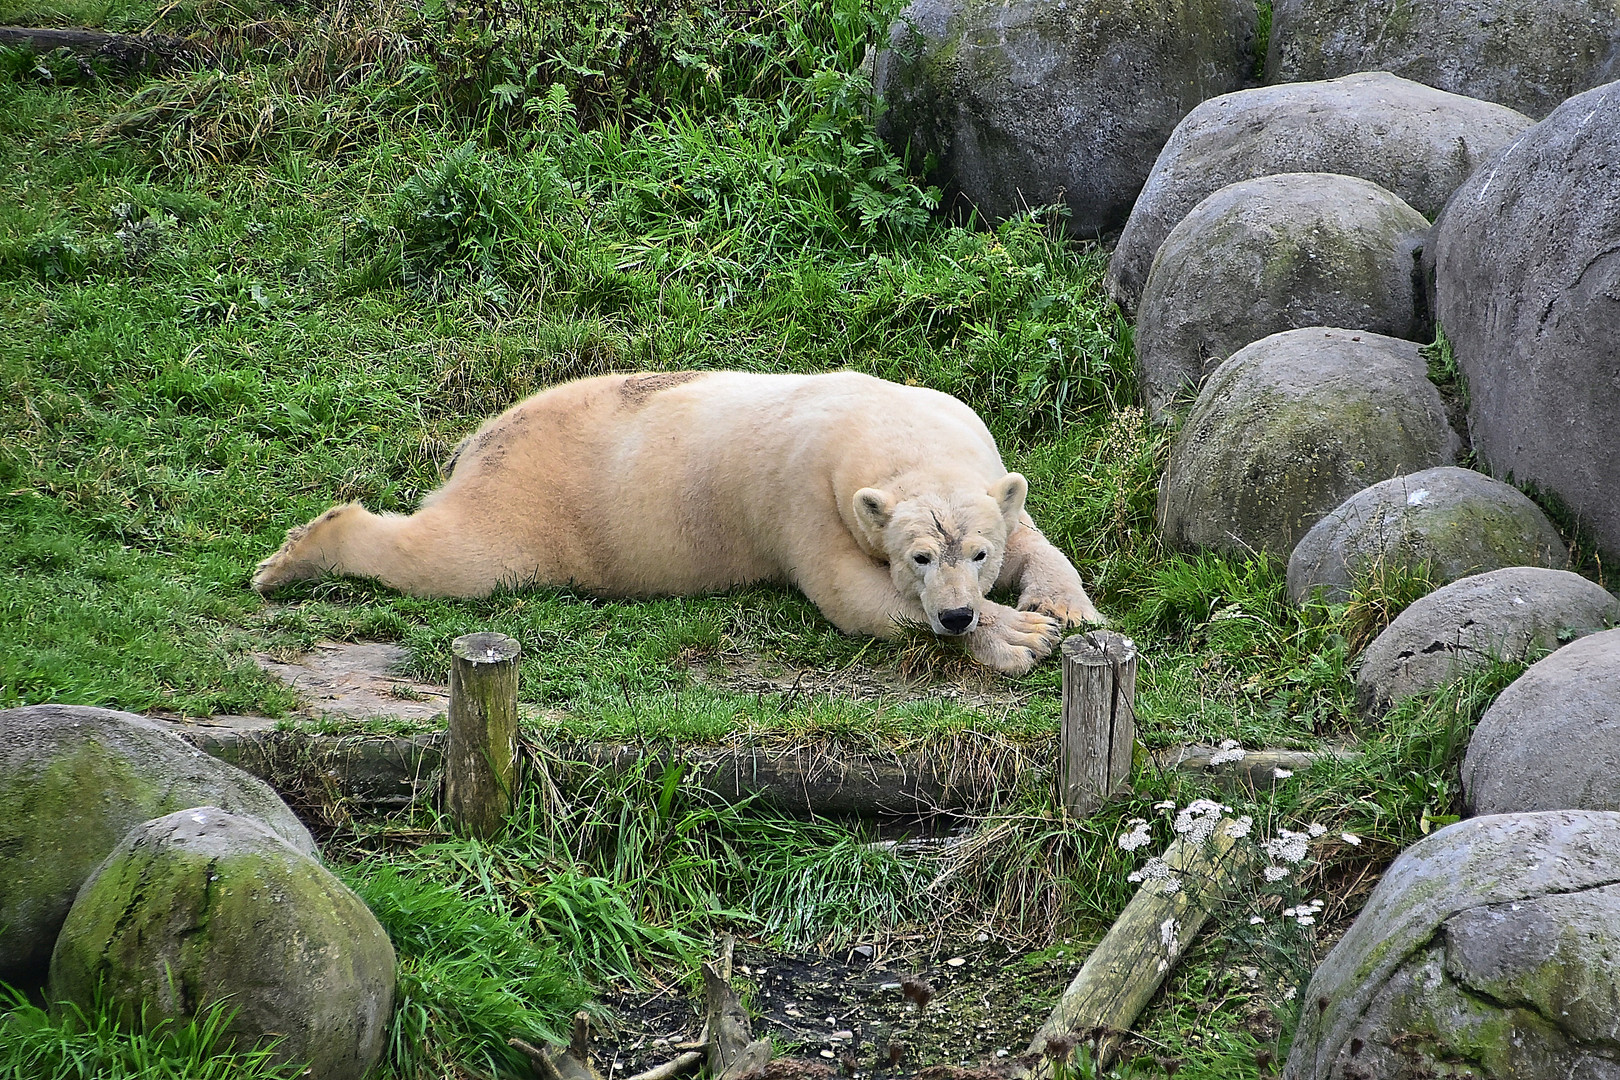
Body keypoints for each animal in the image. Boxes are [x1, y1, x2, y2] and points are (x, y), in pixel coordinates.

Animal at [252, 374, 1108, 676]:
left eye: (976, 552)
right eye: (921, 557)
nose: (958, 614)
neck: (893, 427)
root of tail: (481, 436)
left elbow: (1035, 535)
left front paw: (1062, 608)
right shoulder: (806, 500)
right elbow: (853, 599)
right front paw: (1019, 636)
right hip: (530, 498)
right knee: (457, 559)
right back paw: (296, 554)